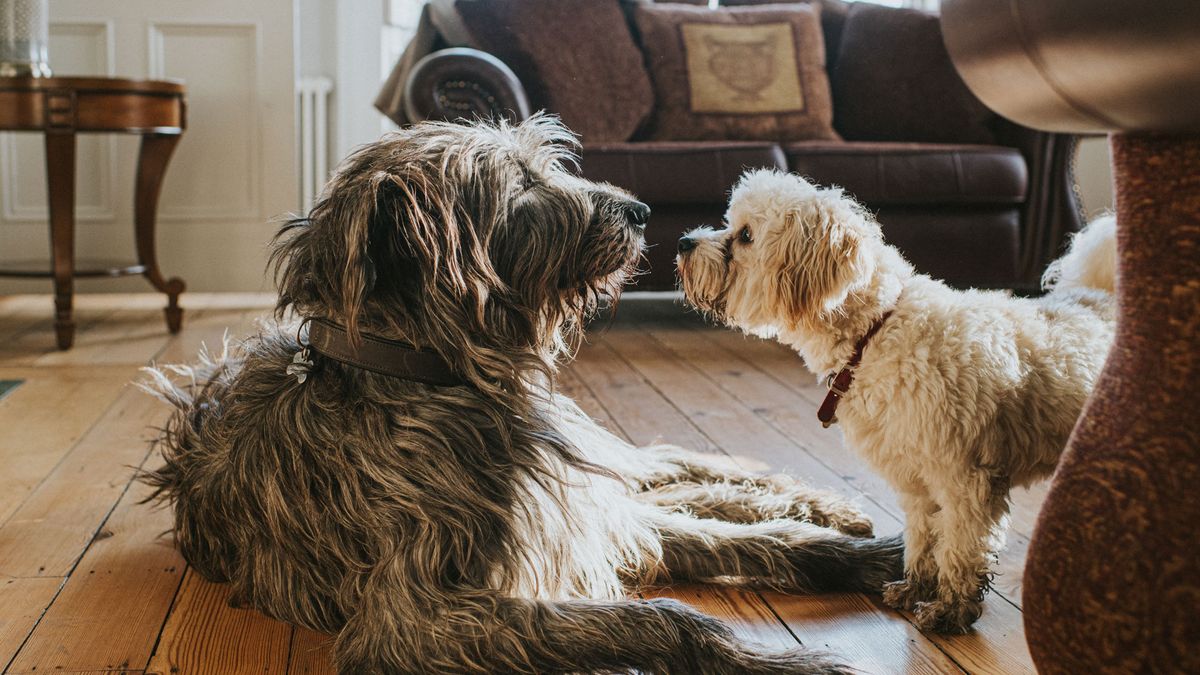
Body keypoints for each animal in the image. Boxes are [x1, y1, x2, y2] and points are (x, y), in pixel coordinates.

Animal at [142, 117, 902, 672]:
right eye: (523, 184)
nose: (640, 211)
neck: (426, 376)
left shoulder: (578, 515)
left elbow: (760, 540)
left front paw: (874, 557)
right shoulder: (419, 618)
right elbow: (666, 617)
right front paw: (776, 661)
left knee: (668, 469)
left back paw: (822, 502)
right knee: (667, 483)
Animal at [676, 168, 1113, 629]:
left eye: (744, 235)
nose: (683, 242)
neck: (877, 332)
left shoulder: (963, 480)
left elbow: (959, 549)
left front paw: (950, 608)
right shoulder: (914, 478)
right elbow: (923, 539)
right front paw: (916, 586)